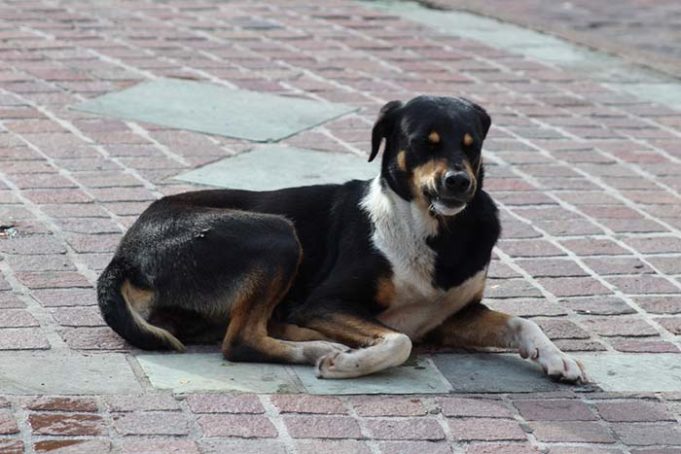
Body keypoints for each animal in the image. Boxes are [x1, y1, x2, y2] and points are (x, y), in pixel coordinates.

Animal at [98, 96, 588, 384]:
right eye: (423, 142)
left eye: (472, 144)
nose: (459, 183)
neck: (430, 229)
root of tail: (124, 255)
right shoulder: (328, 301)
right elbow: (400, 340)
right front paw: (350, 363)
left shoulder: (452, 317)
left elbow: (522, 322)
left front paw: (557, 358)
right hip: (277, 233)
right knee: (239, 341)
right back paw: (320, 346)